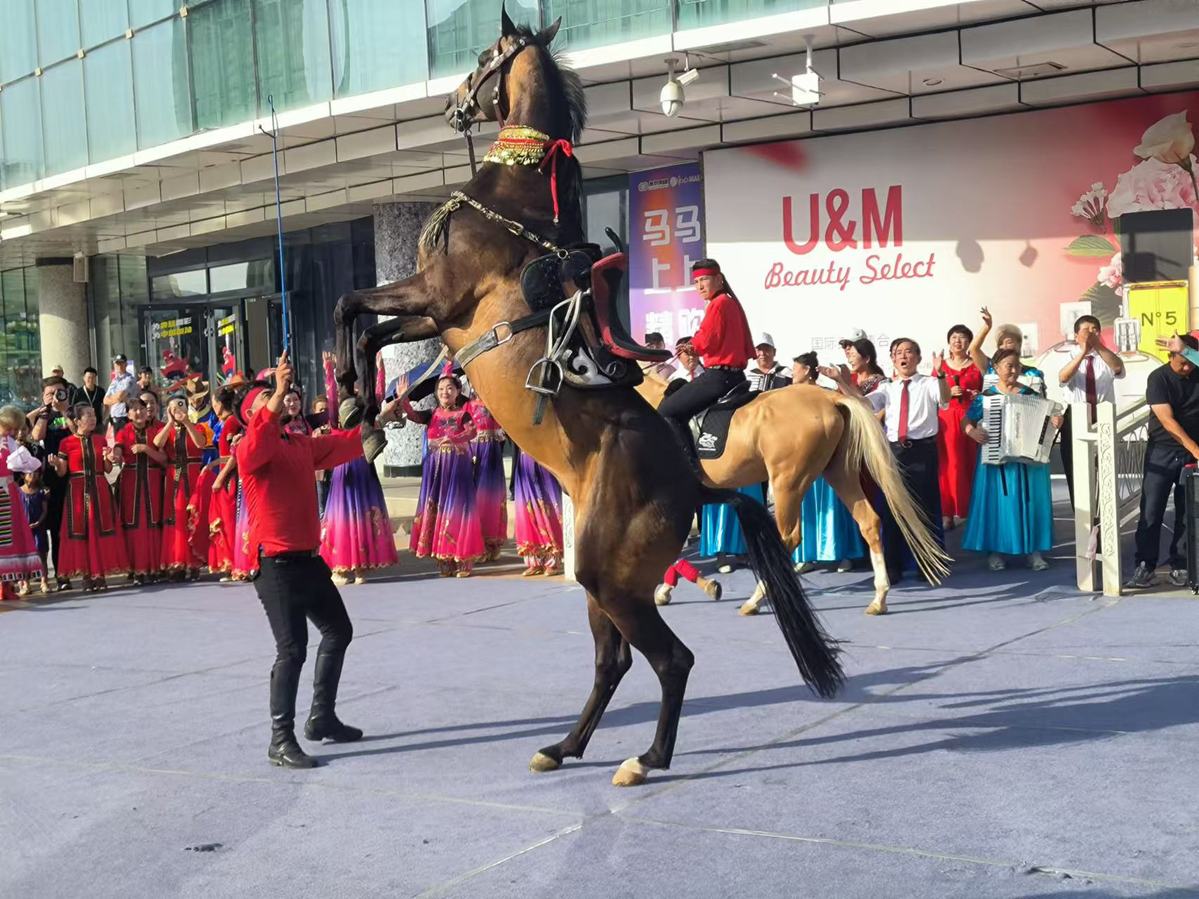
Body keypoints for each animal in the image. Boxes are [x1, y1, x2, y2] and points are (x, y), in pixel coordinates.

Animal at [333, 12, 844, 786]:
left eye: (483, 55)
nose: (453, 104)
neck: (513, 200)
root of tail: (695, 484)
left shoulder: (439, 296)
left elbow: (350, 308)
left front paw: (352, 400)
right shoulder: (437, 318)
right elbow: (369, 326)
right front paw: (359, 404)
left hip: (609, 573)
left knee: (669, 659)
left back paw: (646, 757)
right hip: (606, 579)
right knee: (614, 661)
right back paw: (563, 745)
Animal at [633, 371, 949, 613]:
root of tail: (831, 398)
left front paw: (692, 586)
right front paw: (669, 589)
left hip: (787, 482)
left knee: (788, 538)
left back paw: (756, 599)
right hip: (839, 473)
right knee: (869, 522)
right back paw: (879, 597)